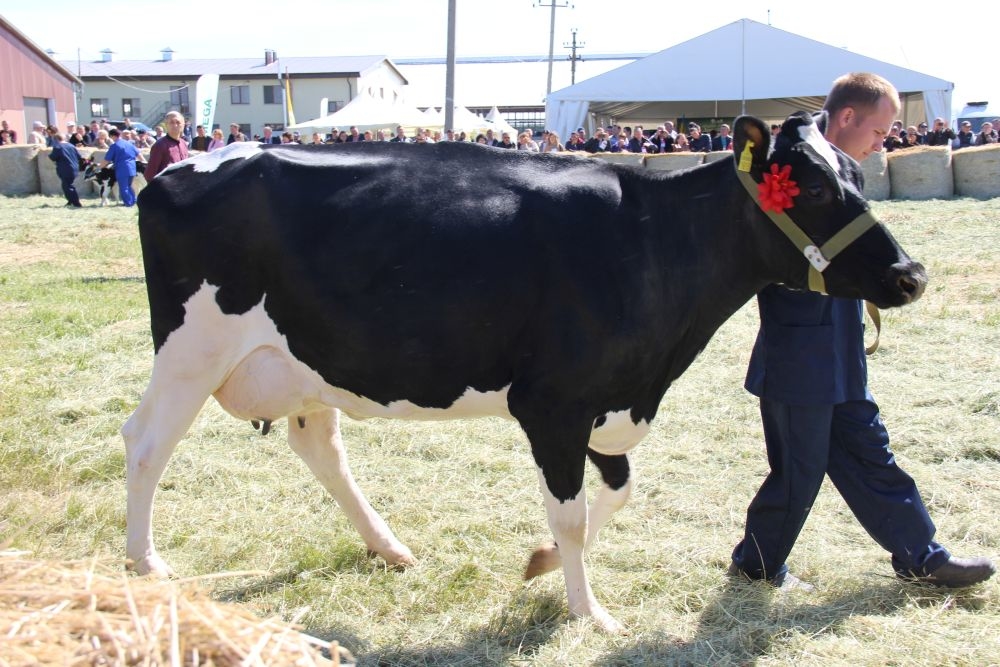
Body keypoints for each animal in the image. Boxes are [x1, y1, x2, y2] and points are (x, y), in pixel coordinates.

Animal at [124, 112, 926, 633]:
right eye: (814, 189)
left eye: (856, 172)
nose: (911, 275)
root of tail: (178, 170)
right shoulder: (554, 405)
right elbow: (568, 514)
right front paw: (587, 609)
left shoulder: (606, 403)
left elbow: (619, 490)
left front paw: (542, 565)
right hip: (193, 348)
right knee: (145, 442)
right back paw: (145, 564)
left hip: (305, 361)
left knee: (318, 446)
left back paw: (389, 547)